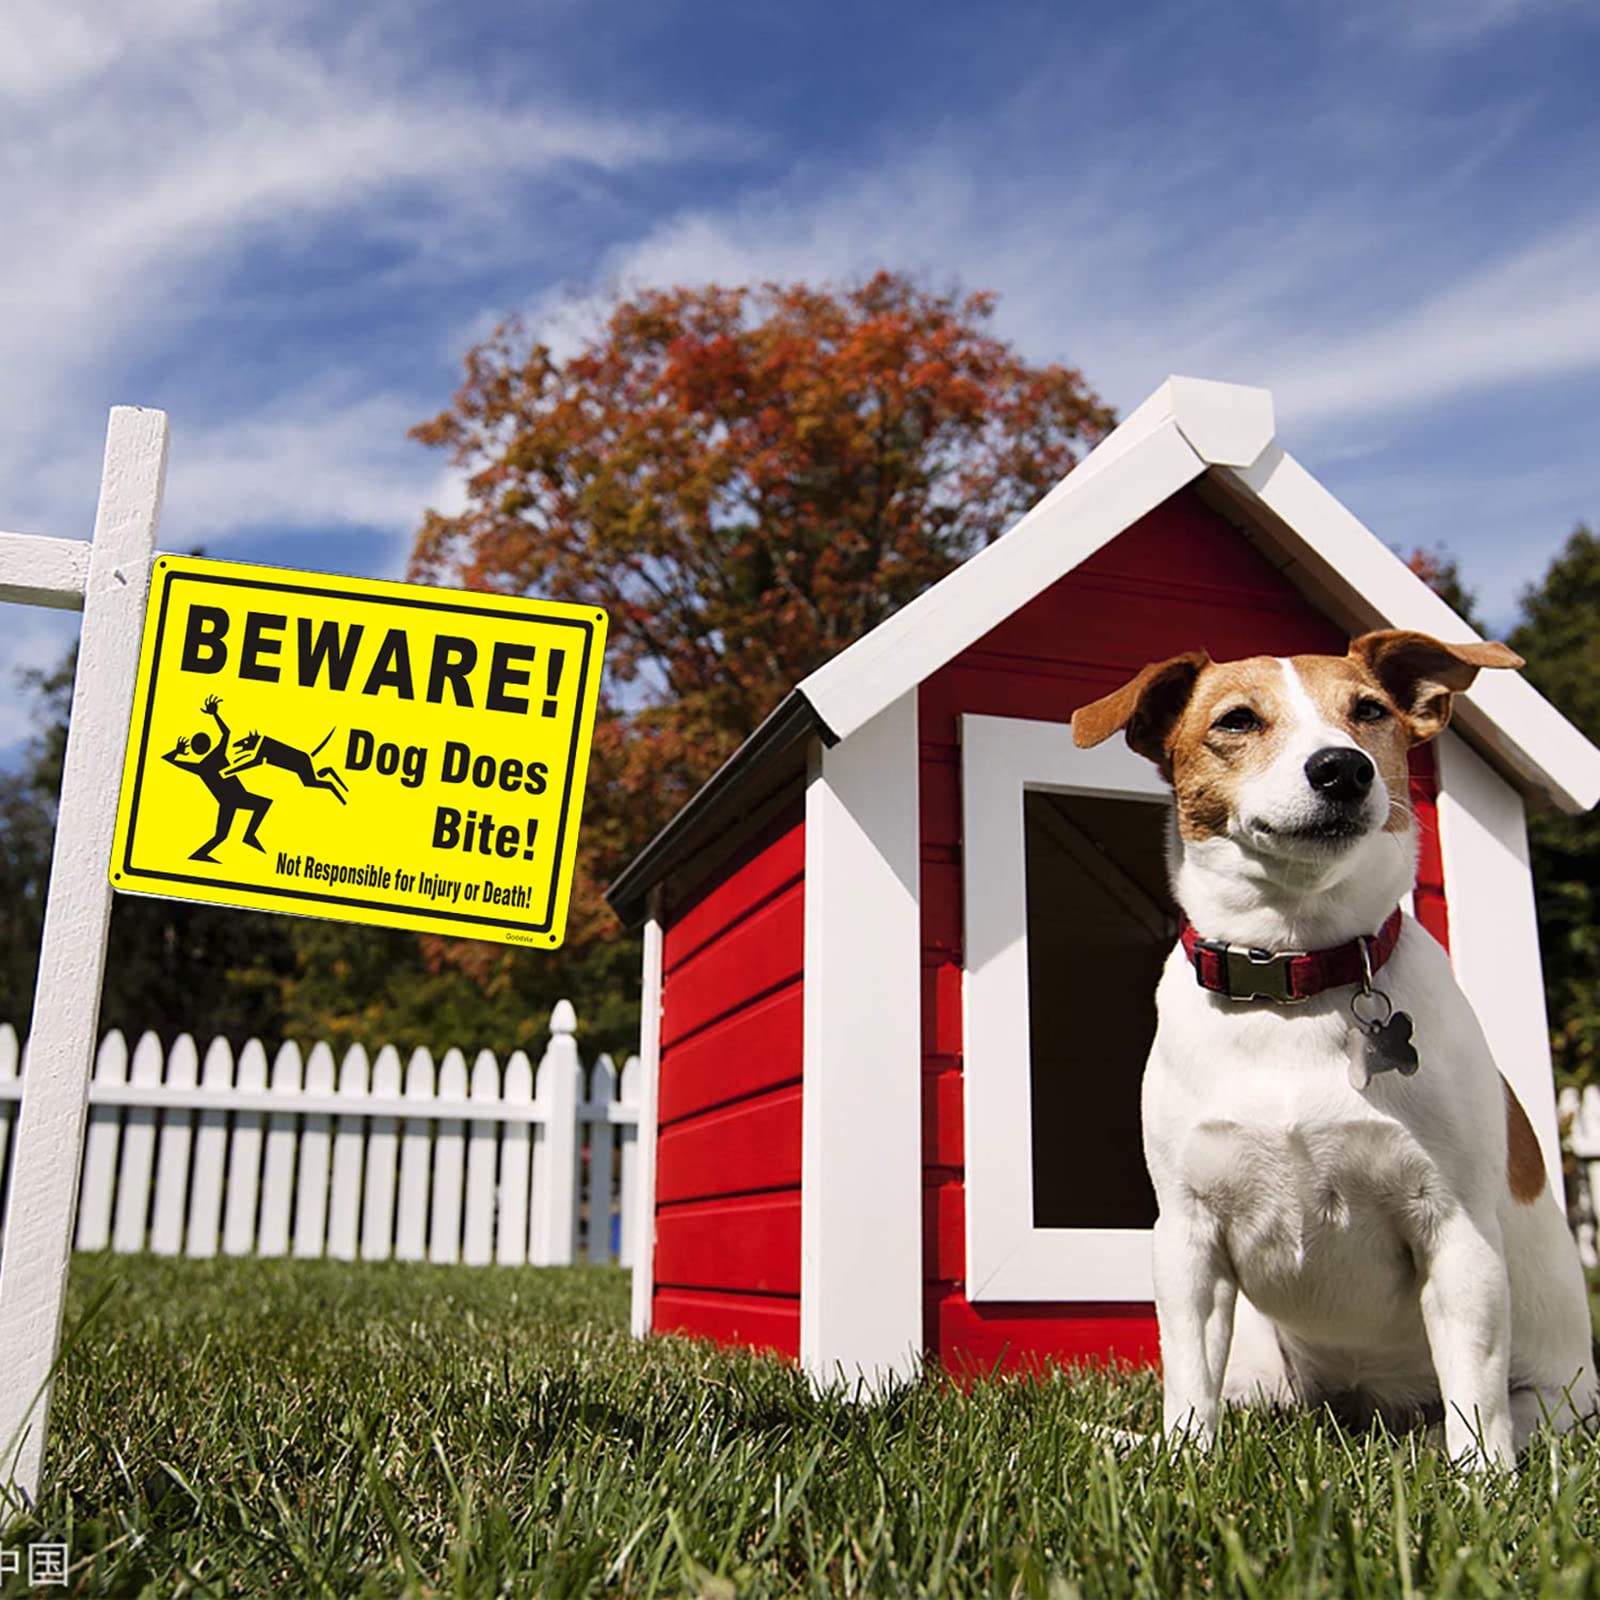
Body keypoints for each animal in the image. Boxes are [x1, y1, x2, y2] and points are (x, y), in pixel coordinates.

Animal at [1068, 630, 1593, 1465]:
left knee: (1471, 1421)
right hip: (1259, 1367)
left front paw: (1481, 1484)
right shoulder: (1187, 1237)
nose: (1343, 767)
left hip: (1552, 1404)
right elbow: (1188, 1384)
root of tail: (1357, 1411)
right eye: (1237, 720)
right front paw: (1184, 1462)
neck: (1296, 973)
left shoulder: (1456, 1232)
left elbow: (1474, 1401)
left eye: (1370, 711)